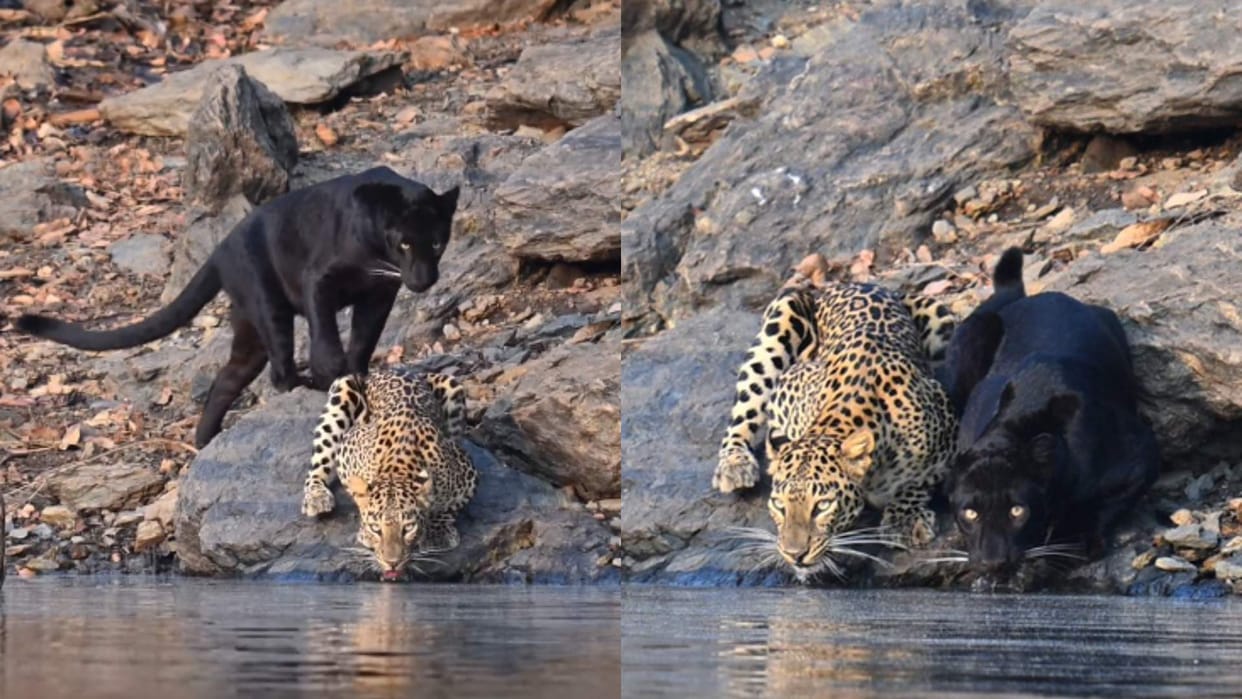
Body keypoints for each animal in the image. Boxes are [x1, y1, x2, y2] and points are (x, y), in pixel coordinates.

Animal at [301, 367, 478, 581]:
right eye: (376, 529)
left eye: (408, 528)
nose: (392, 563)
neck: (397, 468)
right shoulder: (346, 450)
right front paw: (364, 531)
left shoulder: (467, 472)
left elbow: (449, 507)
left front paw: (438, 532)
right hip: (342, 390)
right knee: (319, 459)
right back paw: (317, 497)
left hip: (453, 386)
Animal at [713, 281, 958, 582]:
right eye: (780, 506)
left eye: (822, 506)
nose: (794, 554)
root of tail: (849, 283)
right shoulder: (787, 389)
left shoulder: (949, 426)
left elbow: (917, 480)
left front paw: (904, 519)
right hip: (781, 315)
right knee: (744, 407)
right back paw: (735, 464)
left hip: (942, 320)